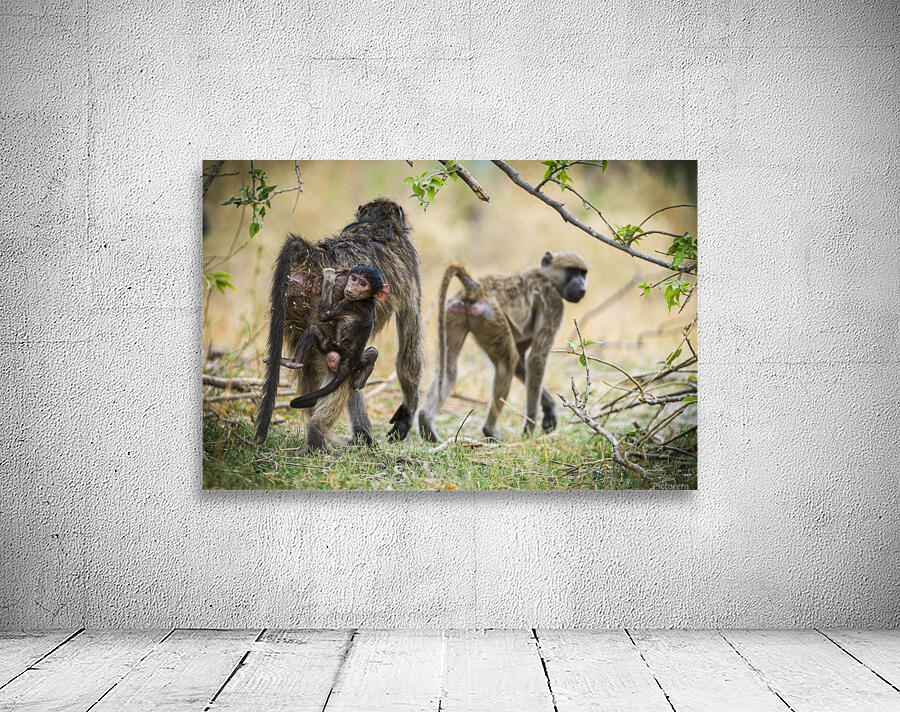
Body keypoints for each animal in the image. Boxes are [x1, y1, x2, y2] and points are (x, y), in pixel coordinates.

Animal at [284, 265, 389, 409]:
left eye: (363, 284)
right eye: (354, 278)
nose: (350, 287)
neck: (367, 300)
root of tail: (348, 363)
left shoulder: (348, 304)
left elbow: (323, 314)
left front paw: (329, 277)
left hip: (334, 349)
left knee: (313, 330)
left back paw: (293, 363)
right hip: (359, 360)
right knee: (373, 352)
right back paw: (362, 378)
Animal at [418, 250, 588, 442]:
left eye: (583, 274)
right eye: (572, 271)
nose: (582, 288)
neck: (546, 277)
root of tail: (475, 288)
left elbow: (522, 362)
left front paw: (549, 410)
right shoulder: (553, 303)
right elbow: (535, 360)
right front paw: (529, 429)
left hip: (454, 312)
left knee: (449, 369)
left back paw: (426, 424)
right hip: (491, 317)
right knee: (506, 364)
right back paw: (489, 431)